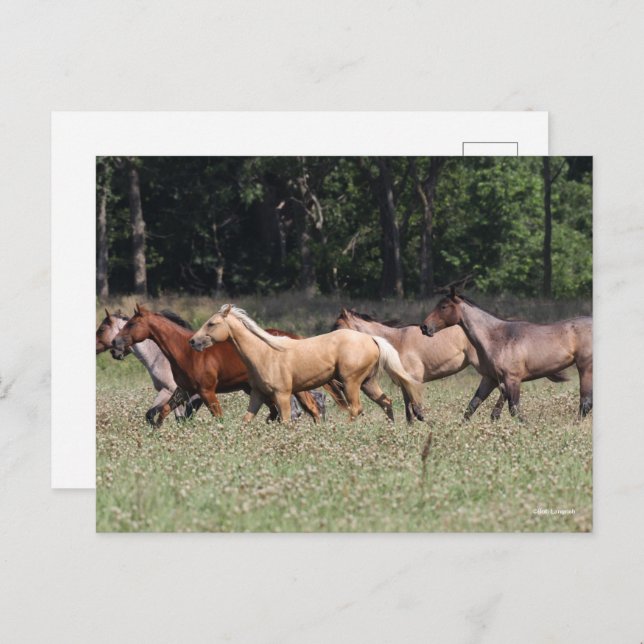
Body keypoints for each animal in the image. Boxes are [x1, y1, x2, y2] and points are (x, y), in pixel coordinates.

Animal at [111, 304, 334, 426]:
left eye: (131, 324)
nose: (114, 344)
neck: (185, 352)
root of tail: (297, 338)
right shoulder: (184, 390)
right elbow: (163, 412)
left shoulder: (206, 391)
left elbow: (218, 417)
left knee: (311, 407)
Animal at [188, 304, 425, 423]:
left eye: (212, 323)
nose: (193, 341)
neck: (264, 353)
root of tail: (371, 339)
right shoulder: (257, 394)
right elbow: (246, 420)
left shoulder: (282, 395)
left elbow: (286, 421)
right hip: (368, 383)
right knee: (386, 402)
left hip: (351, 383)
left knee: (356, 409)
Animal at [420, 289, 592, 419]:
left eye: (443, 307)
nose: (424, 327)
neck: (497, 337)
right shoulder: (490, 379)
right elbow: (472, 407)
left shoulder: (512, 379)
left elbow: (514, 410)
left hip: (585, 368)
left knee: (585, 402)